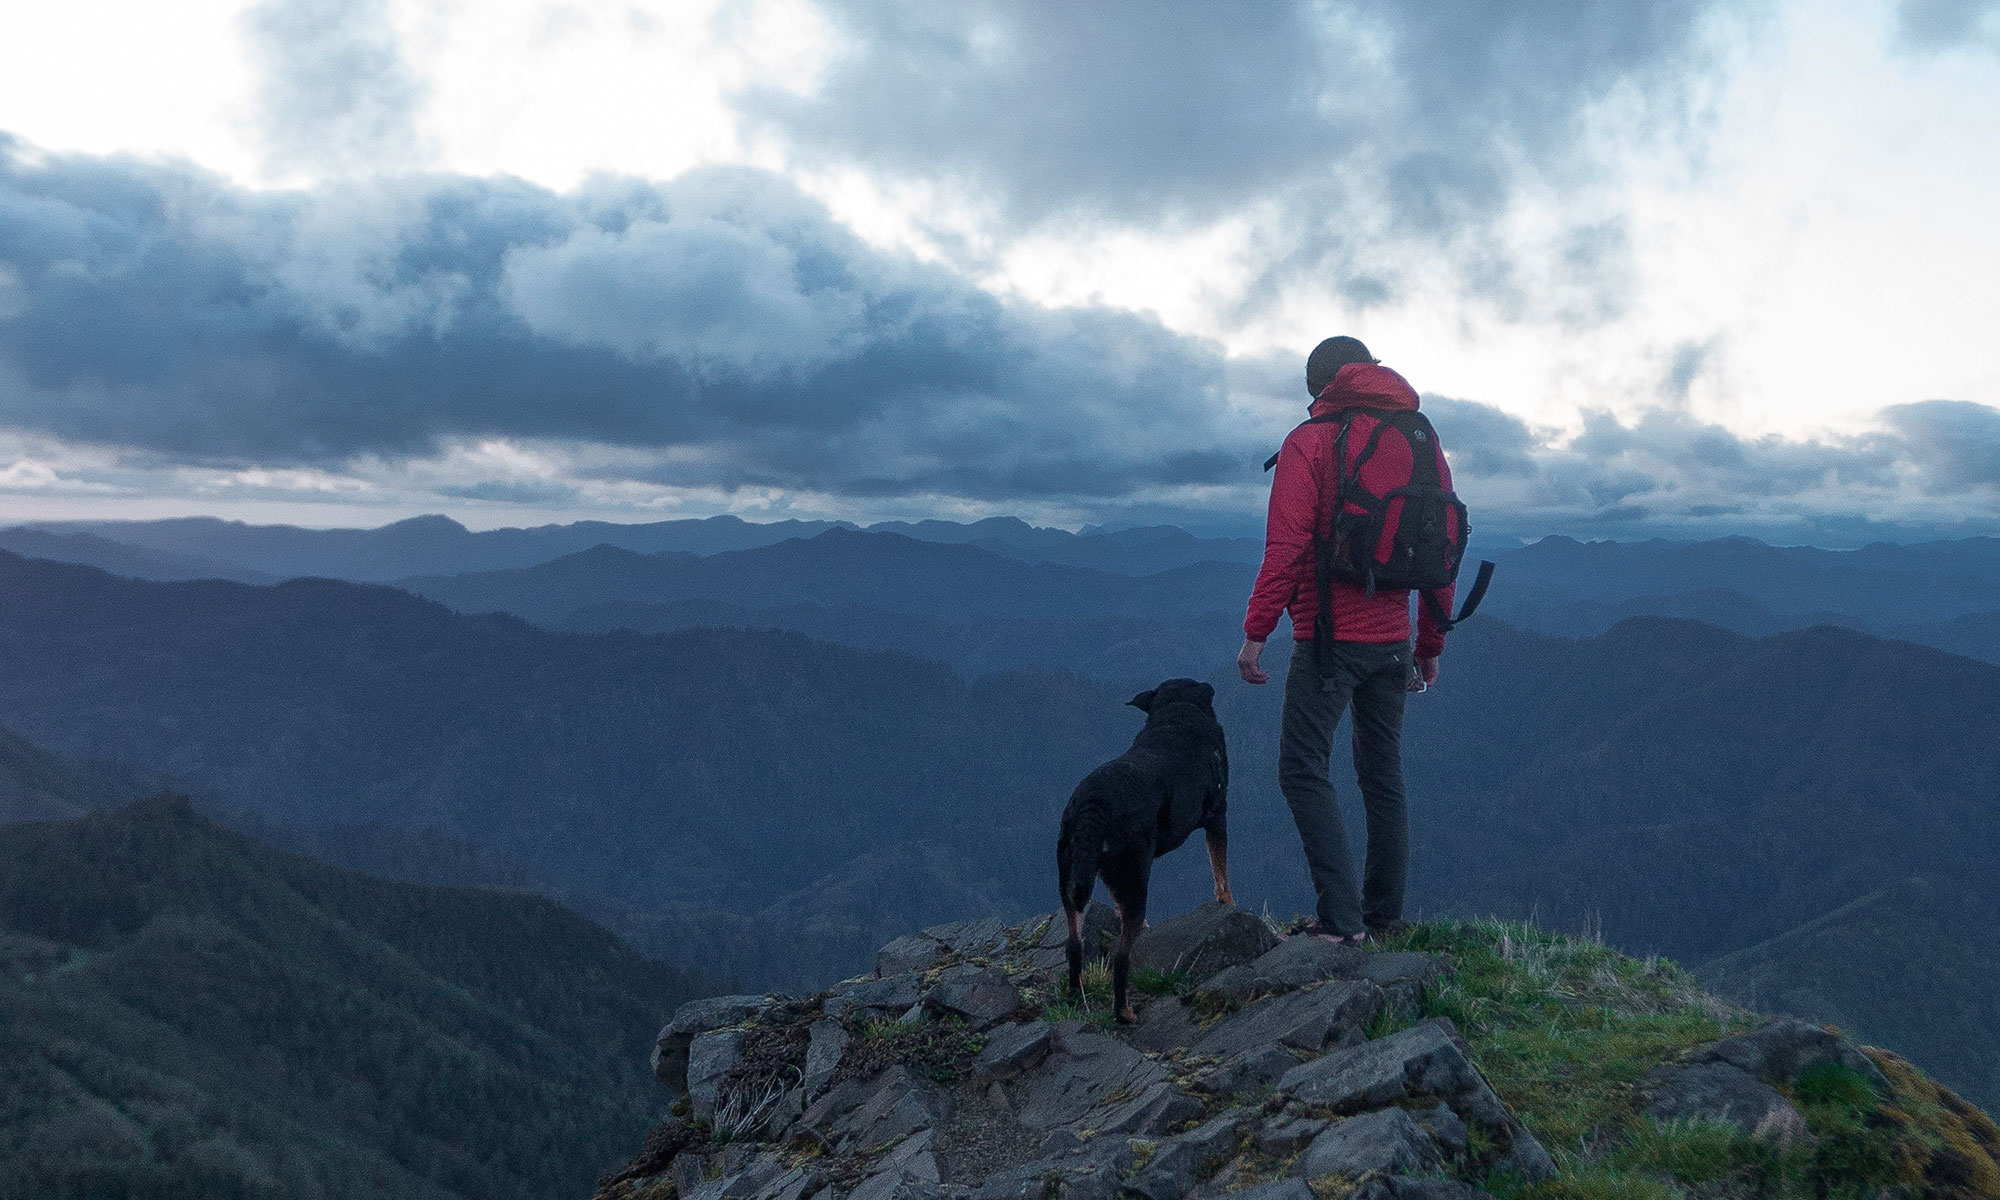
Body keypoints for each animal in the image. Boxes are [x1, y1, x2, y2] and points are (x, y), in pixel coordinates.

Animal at [1056, 676, 1224, 1020]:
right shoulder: (1218, 813)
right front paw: (1229, 904)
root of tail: (1094, 801)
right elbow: (1221, 873)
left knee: (1074, 944)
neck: (1176, 712)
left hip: (1071, 874)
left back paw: (1076, 996)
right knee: (1122, 958)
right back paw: (1125, 1013)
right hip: (1134, 872)